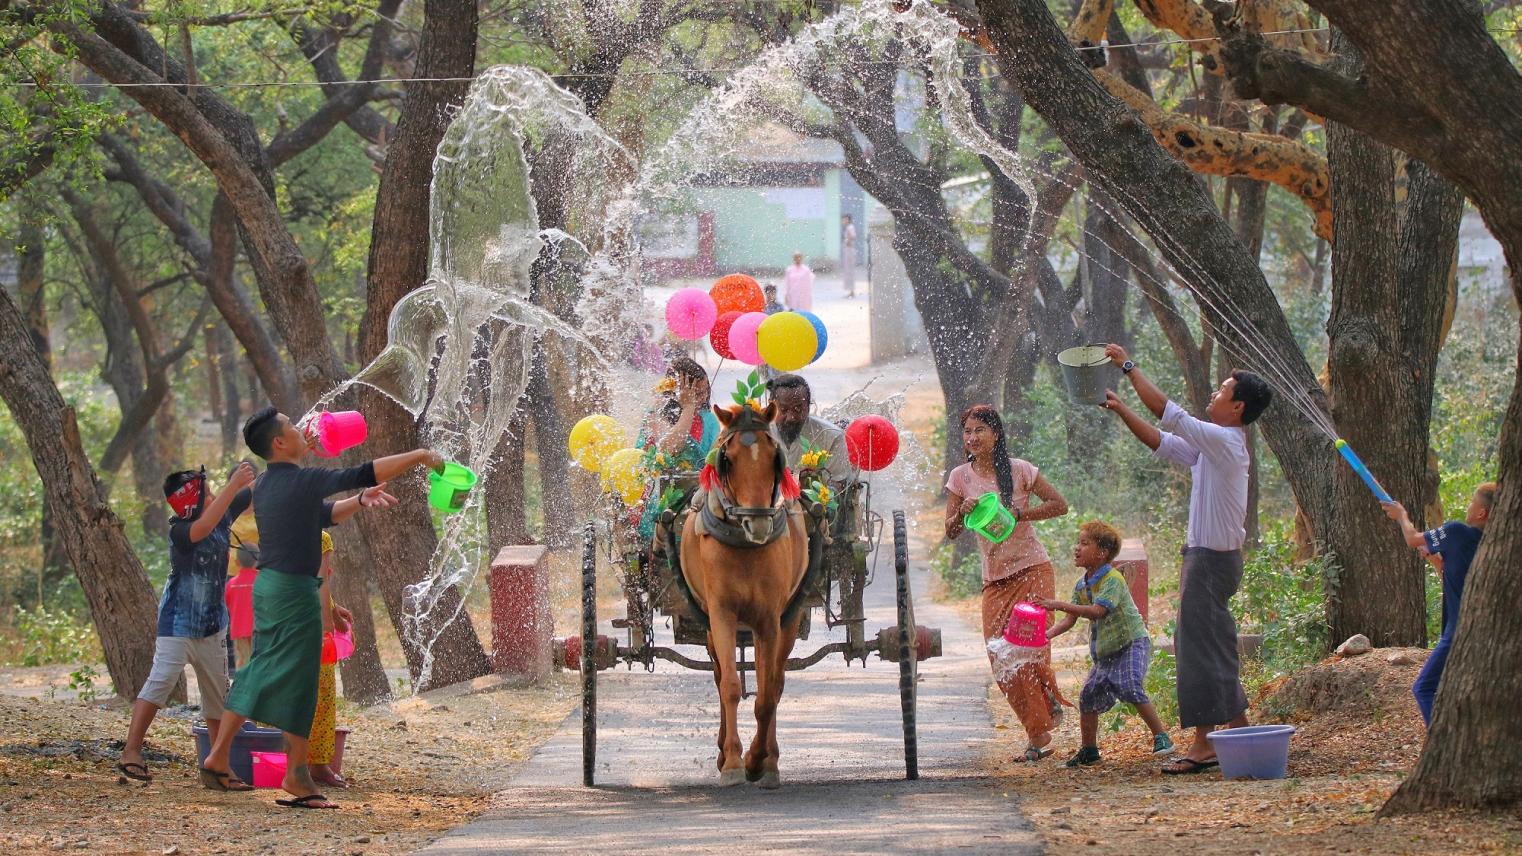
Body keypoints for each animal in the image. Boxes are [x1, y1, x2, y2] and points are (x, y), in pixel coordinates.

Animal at [681, 399, 815, 785]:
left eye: (774, 456)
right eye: (728, 459)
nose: (758, 522)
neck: (744, 545)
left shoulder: (769, 618)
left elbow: (767, 693)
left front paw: (759, 761)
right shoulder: (721, 614)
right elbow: (729, 685)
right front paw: (733, 762)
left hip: (787, 620)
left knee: (776, 681)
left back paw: (770, 757)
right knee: (720, 676)